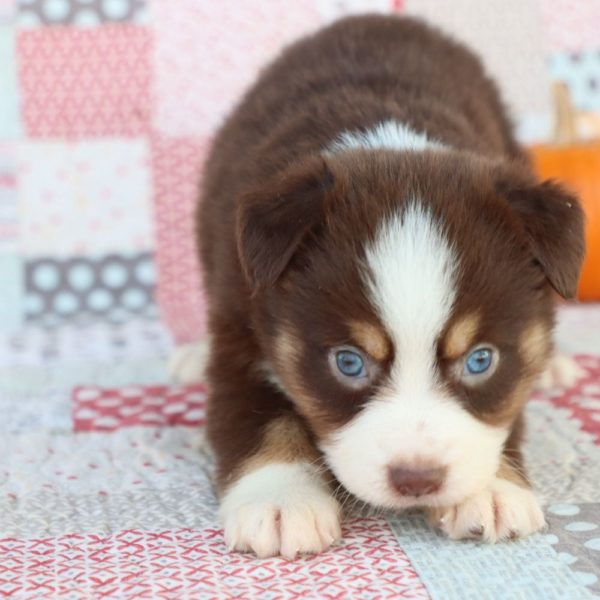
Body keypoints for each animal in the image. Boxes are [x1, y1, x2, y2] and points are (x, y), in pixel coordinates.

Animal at [195, 14, 584, 556]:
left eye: (480, 360)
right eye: (349, 362)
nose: (416, 479)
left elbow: (506, 411)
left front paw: (490, 490)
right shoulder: (240, 315)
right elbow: (257, 414)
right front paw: (281, 500)